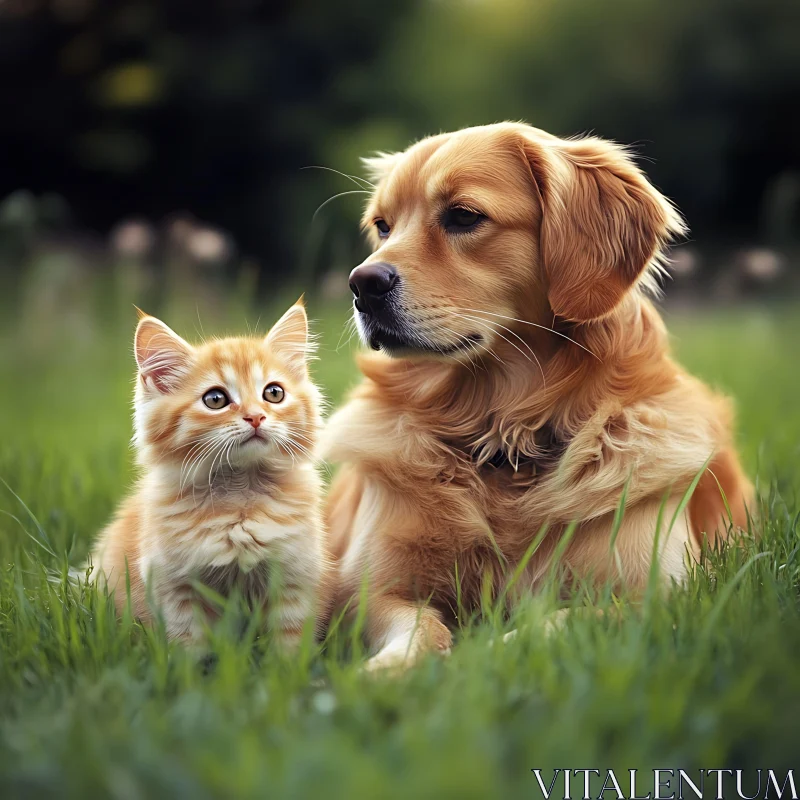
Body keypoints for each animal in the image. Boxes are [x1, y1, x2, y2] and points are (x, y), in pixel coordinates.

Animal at [92, 304, 332, 648]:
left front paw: (286, 663)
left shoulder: (294, 580)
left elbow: (287, 646)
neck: (239, 496)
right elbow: (190, 649)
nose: (256, 417)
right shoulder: (176, 589)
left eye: (274, 393)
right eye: (215, 399)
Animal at [318, 122, 752, 672]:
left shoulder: (659, 594)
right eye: (383, 227)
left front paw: (482, 659)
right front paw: (388, 672)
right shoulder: (366, 592)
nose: (362, 284)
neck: (504, 435)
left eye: (463, 216)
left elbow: (552, 624)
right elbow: (419, 627)